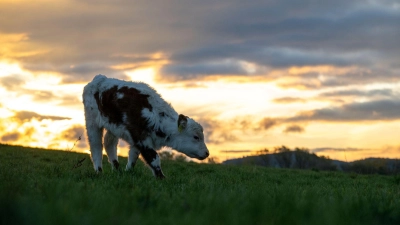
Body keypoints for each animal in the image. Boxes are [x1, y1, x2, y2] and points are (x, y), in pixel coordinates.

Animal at [81, 74, 209, 178]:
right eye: (196, 137)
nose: (207, 153)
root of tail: (100, 78)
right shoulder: (141, 138)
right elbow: (154, 158)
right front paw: (162, 178)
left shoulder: (137, 140)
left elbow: (133, 157)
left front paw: (128, 172)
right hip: (91, 120)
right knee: (96, 146)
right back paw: (99, 171)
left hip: (112, 126)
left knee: (109, 143)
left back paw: (117, 170)